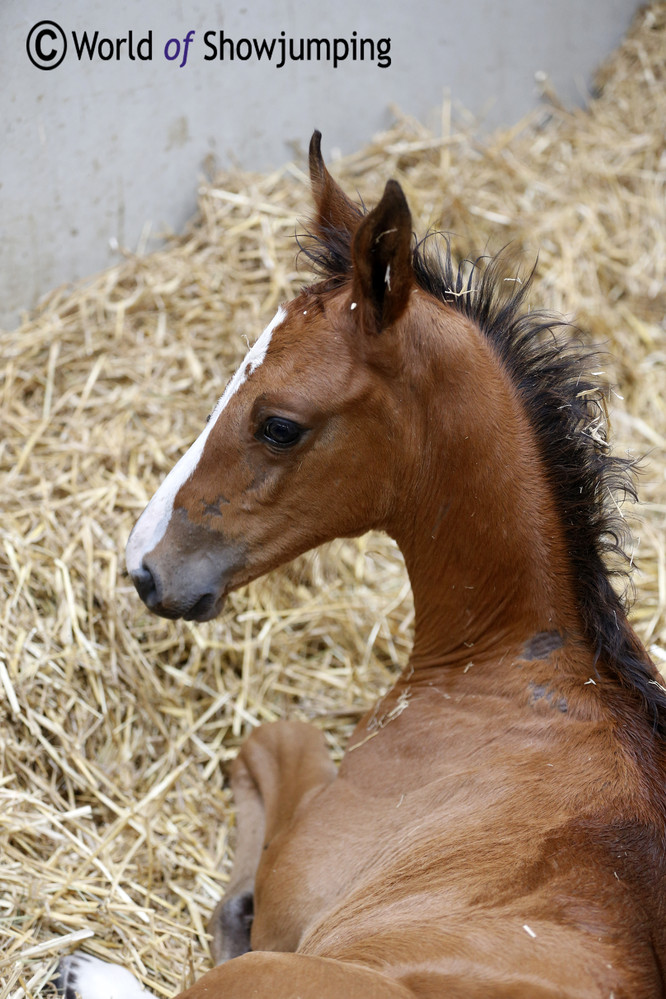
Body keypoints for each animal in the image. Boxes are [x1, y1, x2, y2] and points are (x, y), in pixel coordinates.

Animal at [58, 135, 664, 999]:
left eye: (279, 425)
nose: (147, 566)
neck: (514, 668)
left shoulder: (306, 872)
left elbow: (272, 743)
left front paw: (232, 908)